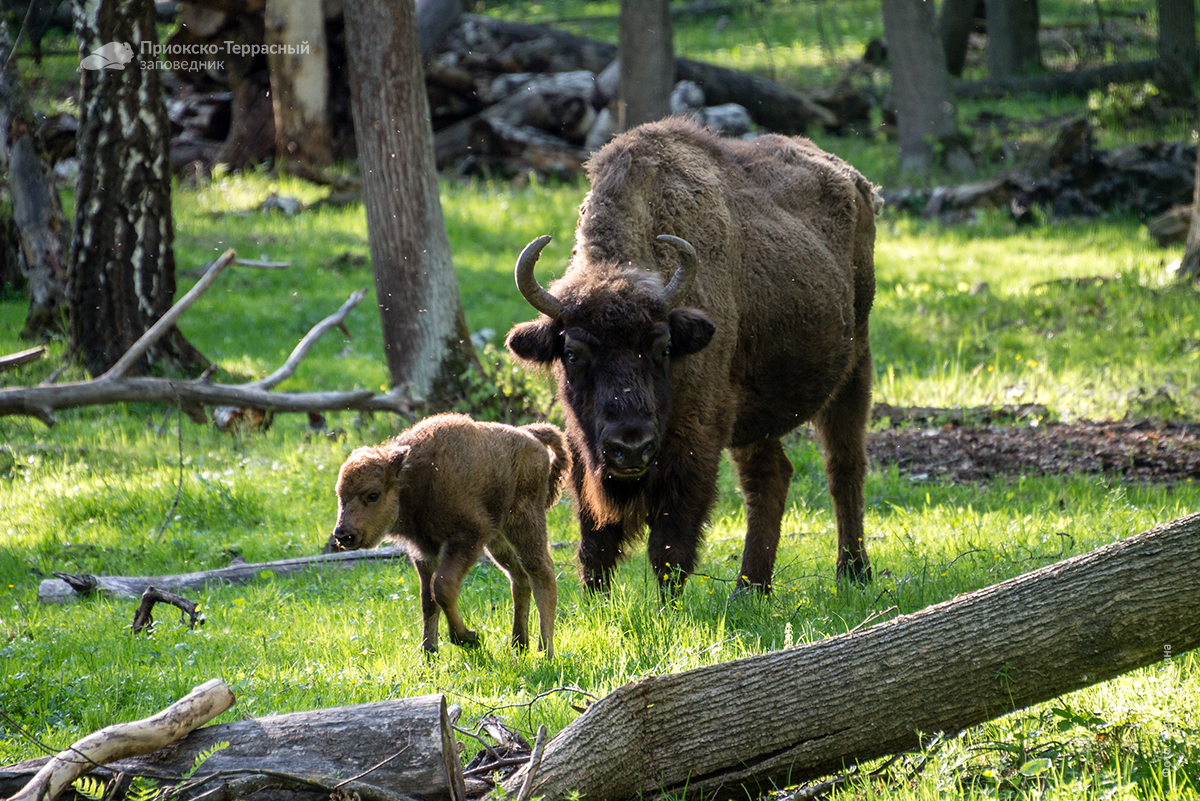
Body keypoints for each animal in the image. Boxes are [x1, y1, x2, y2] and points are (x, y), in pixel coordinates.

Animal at [326, 412, 568, 657]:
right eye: (340, 495)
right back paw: (519, 645)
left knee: (542, 574)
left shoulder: (465, 539)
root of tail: (530, 435)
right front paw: (429, 653)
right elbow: (428, 601)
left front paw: (468, 638)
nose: (343, 535)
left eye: (373, 495)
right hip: (498, 541)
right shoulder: (424, 554)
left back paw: (545, 651)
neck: (415, 478)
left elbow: (443, 589)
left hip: (524, 524)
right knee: (519, 578)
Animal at [506, 117, 883, 594]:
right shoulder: (582, 444)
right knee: (771, 477)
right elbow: (596, 542)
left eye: (663, 347)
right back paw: (749, 589)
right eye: (572, 353)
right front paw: (596, 601)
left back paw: (853, 572)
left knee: (844, 466)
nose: (630, 447)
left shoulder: (697, 437)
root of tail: (857, 182)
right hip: (756, 411)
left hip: (856, 366)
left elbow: (669, 544)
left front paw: (669, 604)